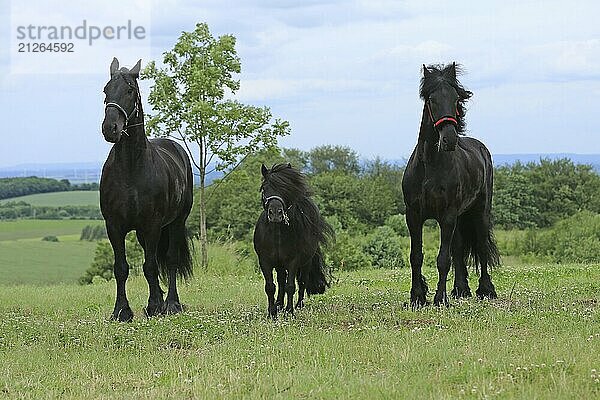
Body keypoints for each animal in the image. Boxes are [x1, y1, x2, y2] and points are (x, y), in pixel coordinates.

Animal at [99, 57, 192, 322]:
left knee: (170, 260)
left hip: (175, 222)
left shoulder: (152, 225)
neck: (131, 168)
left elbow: (151, 266)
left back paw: (171, 303)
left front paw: (154, 306)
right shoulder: (114, 226)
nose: (110, 128)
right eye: (106, 90)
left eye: (130, 90)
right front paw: (121, 311)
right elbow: (121, 268)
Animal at [253, 163, 336, 318]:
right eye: (265, 188)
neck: (277, 233)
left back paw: (298, 305)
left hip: (306, 262)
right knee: (280, 281)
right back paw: (279, 305)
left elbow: (290, 286)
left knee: (302, 282)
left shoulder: (293, 261)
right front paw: (272, 313)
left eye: (285, 189)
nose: (275, 213)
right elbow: (270, 287)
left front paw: (290, 312)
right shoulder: (265, 261)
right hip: (280, 264)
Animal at [400, 62, 500, 308]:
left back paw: (485, 290)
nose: (449, 139)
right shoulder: (414, 215)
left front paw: (439, 299)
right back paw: (460, 289)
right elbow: (416, 256)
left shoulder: (446, 215)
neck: (429, 166)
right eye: (431, 99)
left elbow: (443, 258)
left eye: (456, 98)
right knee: (458, 247)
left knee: (481, 246)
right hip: (459, 217)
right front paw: (417, 297)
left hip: (479, 213)